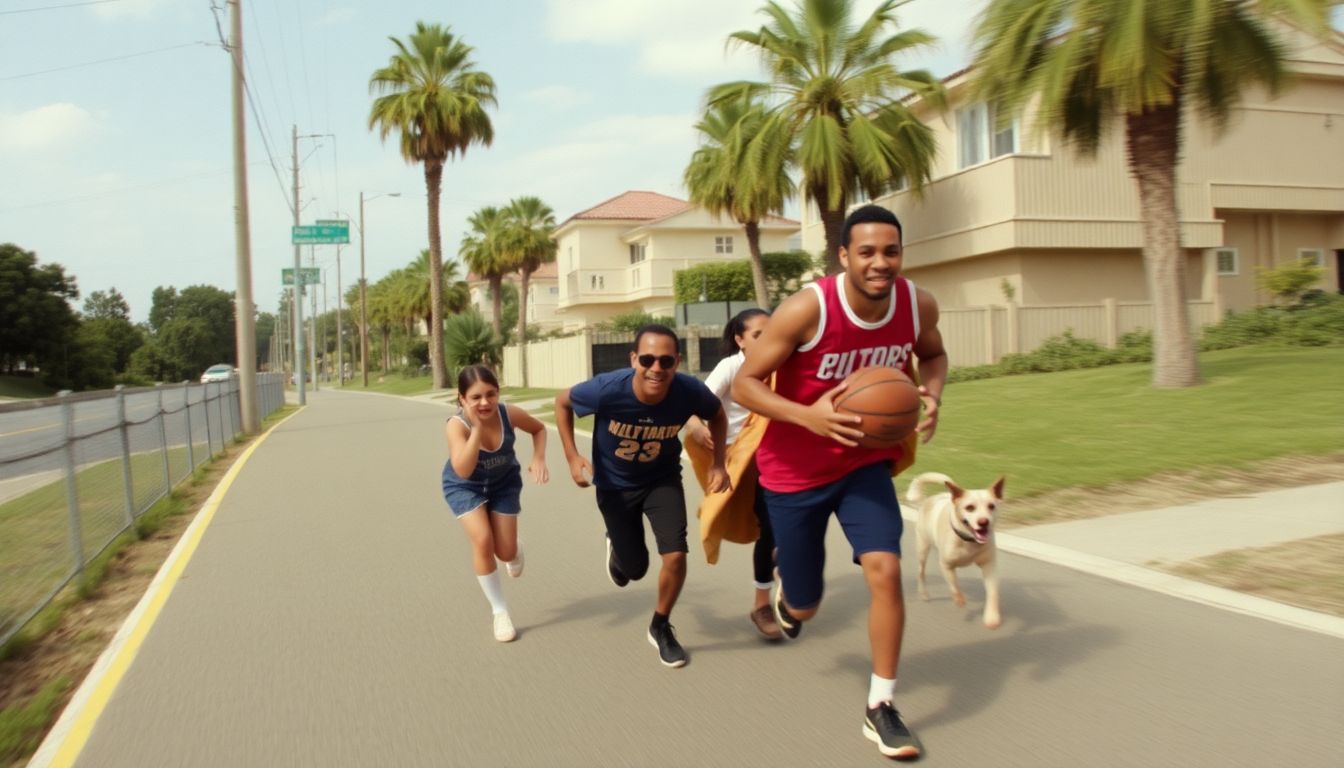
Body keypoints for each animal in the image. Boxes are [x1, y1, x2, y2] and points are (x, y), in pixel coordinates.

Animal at [908, 470, 1005, 626]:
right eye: (970, 507)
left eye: (991, 506)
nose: (984, 522)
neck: (969, 541)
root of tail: (926, 500)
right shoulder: (946, 566)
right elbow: (954, 585)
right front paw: (959, 599)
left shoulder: (989, 565)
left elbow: (993, 591)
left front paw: (992, 616)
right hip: (922, 549)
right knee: (921, 572)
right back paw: (924, 593)